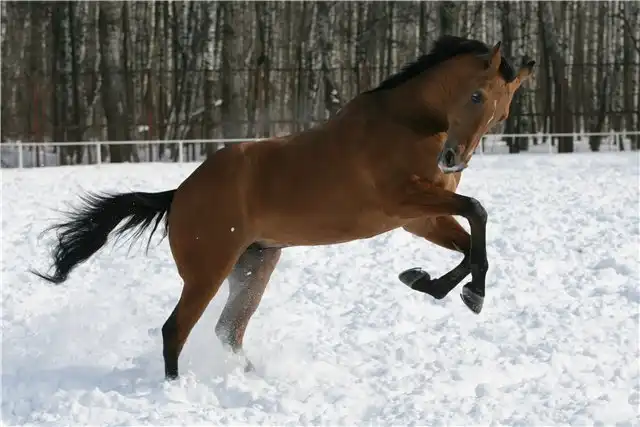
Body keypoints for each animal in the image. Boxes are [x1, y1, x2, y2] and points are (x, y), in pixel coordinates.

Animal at [32, 35, 535, 380]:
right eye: (475, 96)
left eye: (501, 114)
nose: (453, 159)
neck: (407, 126)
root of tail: (179, 194)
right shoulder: (403, 202)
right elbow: (478, 212)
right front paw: (464, 292)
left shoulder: (420, 219)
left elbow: (471, 242)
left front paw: (435, 284)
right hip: (207, 272)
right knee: (175, 330)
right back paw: (177, 390)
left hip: (253, 265)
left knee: (228, 331)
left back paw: (251, 376)